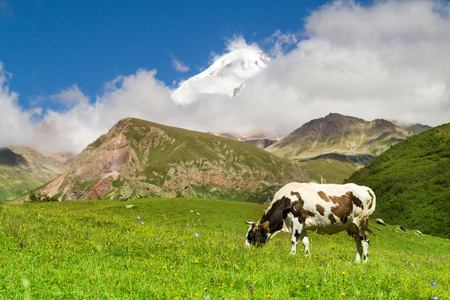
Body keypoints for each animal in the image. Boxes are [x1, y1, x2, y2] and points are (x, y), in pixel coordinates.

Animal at [246, 180, 376, 262]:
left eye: (253, 235)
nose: (246, 249)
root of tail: (363, 188)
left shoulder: (298, 220)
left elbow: (294, 240)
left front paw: (291, 255)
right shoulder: (303, 225)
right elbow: (305, 242)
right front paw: (307, 256)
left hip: (361, 223)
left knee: (365, 240)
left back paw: (365, 261)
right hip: (353, 226)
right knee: (358, 241)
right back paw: (357, 261)